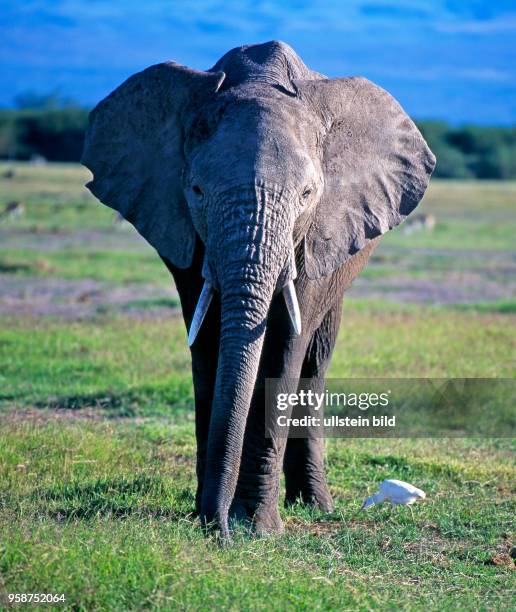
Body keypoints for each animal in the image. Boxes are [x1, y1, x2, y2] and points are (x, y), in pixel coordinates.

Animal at [81, 40, 436, 536]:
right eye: (196, 190)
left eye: (308, 195)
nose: (218, 529)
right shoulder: (183, 229)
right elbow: (207, 341)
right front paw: (210, 516)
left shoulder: (317, 235)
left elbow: (286, 346)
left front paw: (259, 528)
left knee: (316, 357)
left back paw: (313, 505)